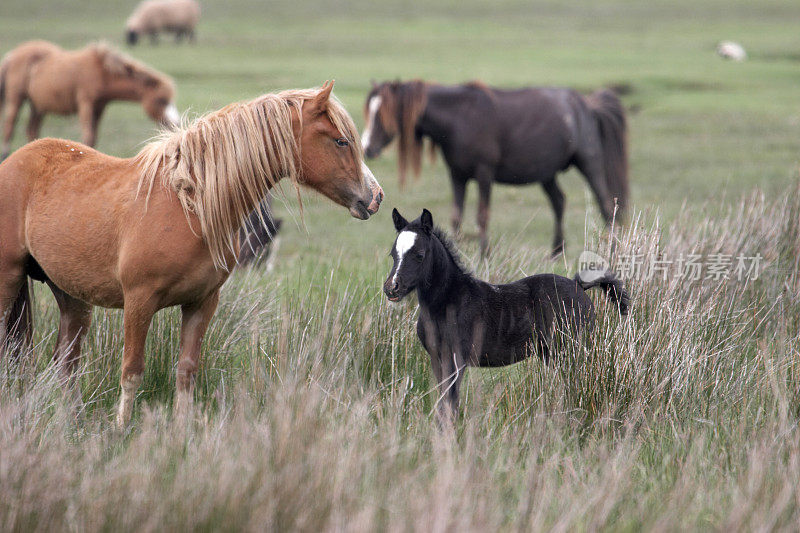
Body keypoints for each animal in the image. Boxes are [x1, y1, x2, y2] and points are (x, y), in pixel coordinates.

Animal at [0, 40, 178, 159]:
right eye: (162, 100)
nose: (174, 123)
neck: (102, 72)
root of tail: (11, 55)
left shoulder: (99, 108)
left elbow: (93, 137)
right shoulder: (86, 103)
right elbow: (88, 135)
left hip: (37, 105)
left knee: (32, 129)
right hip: (17, 99)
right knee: (10, 126)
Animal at [0, 81, 382, 426]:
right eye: (341, 141)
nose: (375, 197)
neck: (189, 205)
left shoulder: (201, 303)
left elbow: (186, 371)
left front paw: (182, 434)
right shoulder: (139, 301)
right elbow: (132, 370)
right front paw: (121, 429)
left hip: (72, 296)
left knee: (65, 361)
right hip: (9, 282)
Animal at [364, 80, 632, 256]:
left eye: (384, 113)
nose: (367, 148)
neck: (460, 117)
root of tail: (586, 103)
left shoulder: (484, 173)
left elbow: (482, 215)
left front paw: (485, 254)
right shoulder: (457, 175)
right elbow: (456, 216)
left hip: (589, 164)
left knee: (606, 205)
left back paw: (612, 251)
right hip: (546, 174)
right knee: (559, 201)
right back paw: (557, 252)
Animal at [384, 208, 628, 424]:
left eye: (419, 255)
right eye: (393, 254)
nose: (391, 288)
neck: (447, 303)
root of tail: (578, 286)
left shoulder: (456, 358)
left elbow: (450, 402)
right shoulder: (437, 358)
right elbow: (445, 399)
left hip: (574, 349)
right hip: (551, 353)